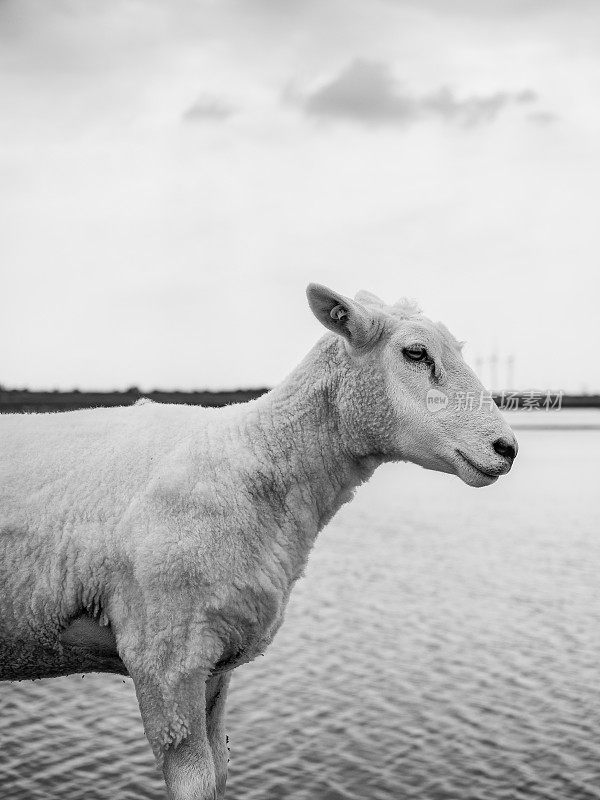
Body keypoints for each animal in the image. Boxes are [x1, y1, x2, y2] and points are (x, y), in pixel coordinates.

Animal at [0, 284, 516, 796]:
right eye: (415, 353)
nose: (507, 448)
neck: (255, 455)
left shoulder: (214, 662)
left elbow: (219, 773)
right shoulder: (164, 659)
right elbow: (195, 779)